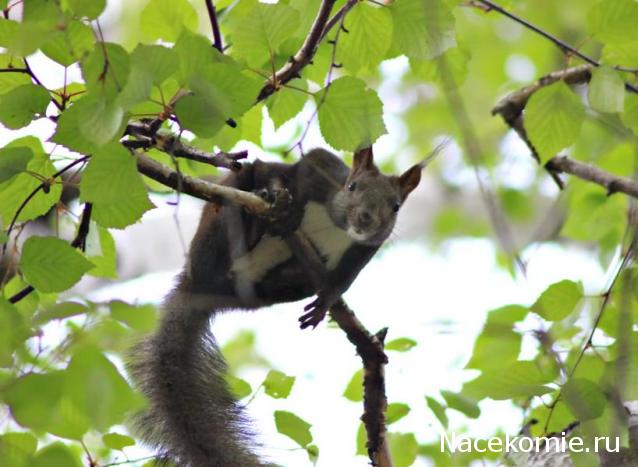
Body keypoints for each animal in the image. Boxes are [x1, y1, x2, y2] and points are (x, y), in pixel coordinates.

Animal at [127, 148, 422, 467]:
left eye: (395, 206)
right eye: (352, 186)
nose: (366, 219)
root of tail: (199, 290)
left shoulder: (365, 248)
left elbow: (345, 277)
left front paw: (327, 299)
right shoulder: (319, 165)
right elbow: (276, 170)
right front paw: (281, 202)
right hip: (212, 235)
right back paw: (258, 221)